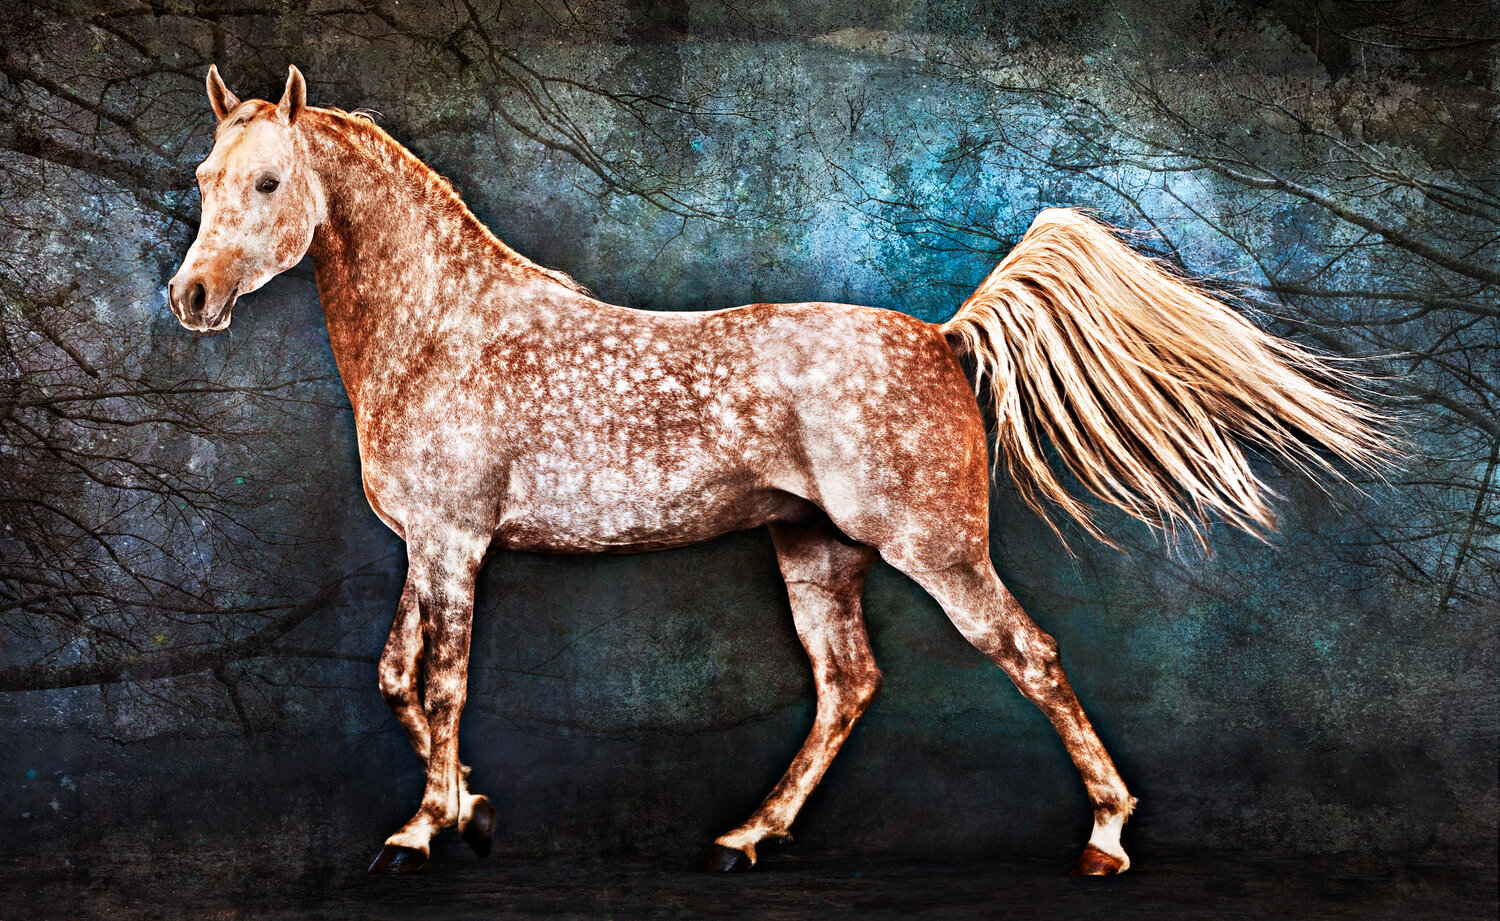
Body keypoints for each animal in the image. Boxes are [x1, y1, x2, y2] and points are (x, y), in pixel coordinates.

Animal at [166, 65, 1387, 877]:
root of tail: (942, 336)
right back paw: (751, 833)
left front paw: (426, 827)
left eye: (269, 182)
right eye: (205, 175)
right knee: (848, 682)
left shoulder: (458, 543)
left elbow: (441, 682)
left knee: (1028, 656)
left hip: (936, 550)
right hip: (815, 552)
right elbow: (394, 679)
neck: (442, 328)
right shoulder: (424, 545)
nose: (191, 297)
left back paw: (1104, 836)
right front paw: (471, 809)